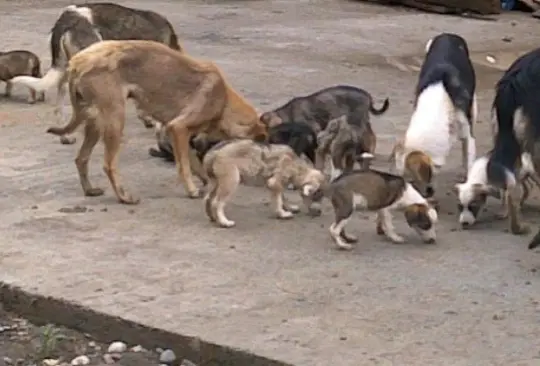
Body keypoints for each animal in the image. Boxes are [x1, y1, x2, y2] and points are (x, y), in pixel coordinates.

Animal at [44, 41, 268, 204]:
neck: (223, 100)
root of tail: (76, 62)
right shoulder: (179, 128)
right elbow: (184, 165)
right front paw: (191, 190)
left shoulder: (175, 131)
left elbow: (191, 161)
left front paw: (204, 180)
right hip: (115, 120)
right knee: (108, 165)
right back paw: (124, 197)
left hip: (95, 121)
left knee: (81, 158)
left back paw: (90, 190)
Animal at [308, 153, 438, 250]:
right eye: (426, 225)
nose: (433, 240)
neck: (407, 194)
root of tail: (332, 184)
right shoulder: (386, 209)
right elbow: (389, 225)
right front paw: (395, 237)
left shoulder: (380, 209)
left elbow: (381, 221)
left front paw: (382, 232)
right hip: (347, 209)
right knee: (333, 229)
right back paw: (343, 245)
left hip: (342, 210)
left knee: (340, 228)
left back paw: (348, 238)